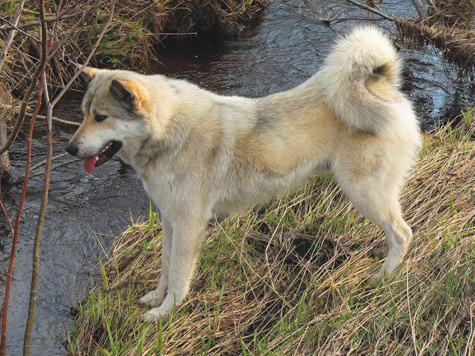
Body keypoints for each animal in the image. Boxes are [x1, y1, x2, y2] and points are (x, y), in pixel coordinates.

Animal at [66, 25, 420, 320]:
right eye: (83, 114)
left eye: (101, 117)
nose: (69, 148)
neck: (168, 130)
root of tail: (382, 87)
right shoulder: (169, 219)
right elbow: (166, 266)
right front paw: (156, 298)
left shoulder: (189, 224)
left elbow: (179, 275)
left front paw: (165, 314)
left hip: (364, 192)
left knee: (402, 234)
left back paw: (382, 278)